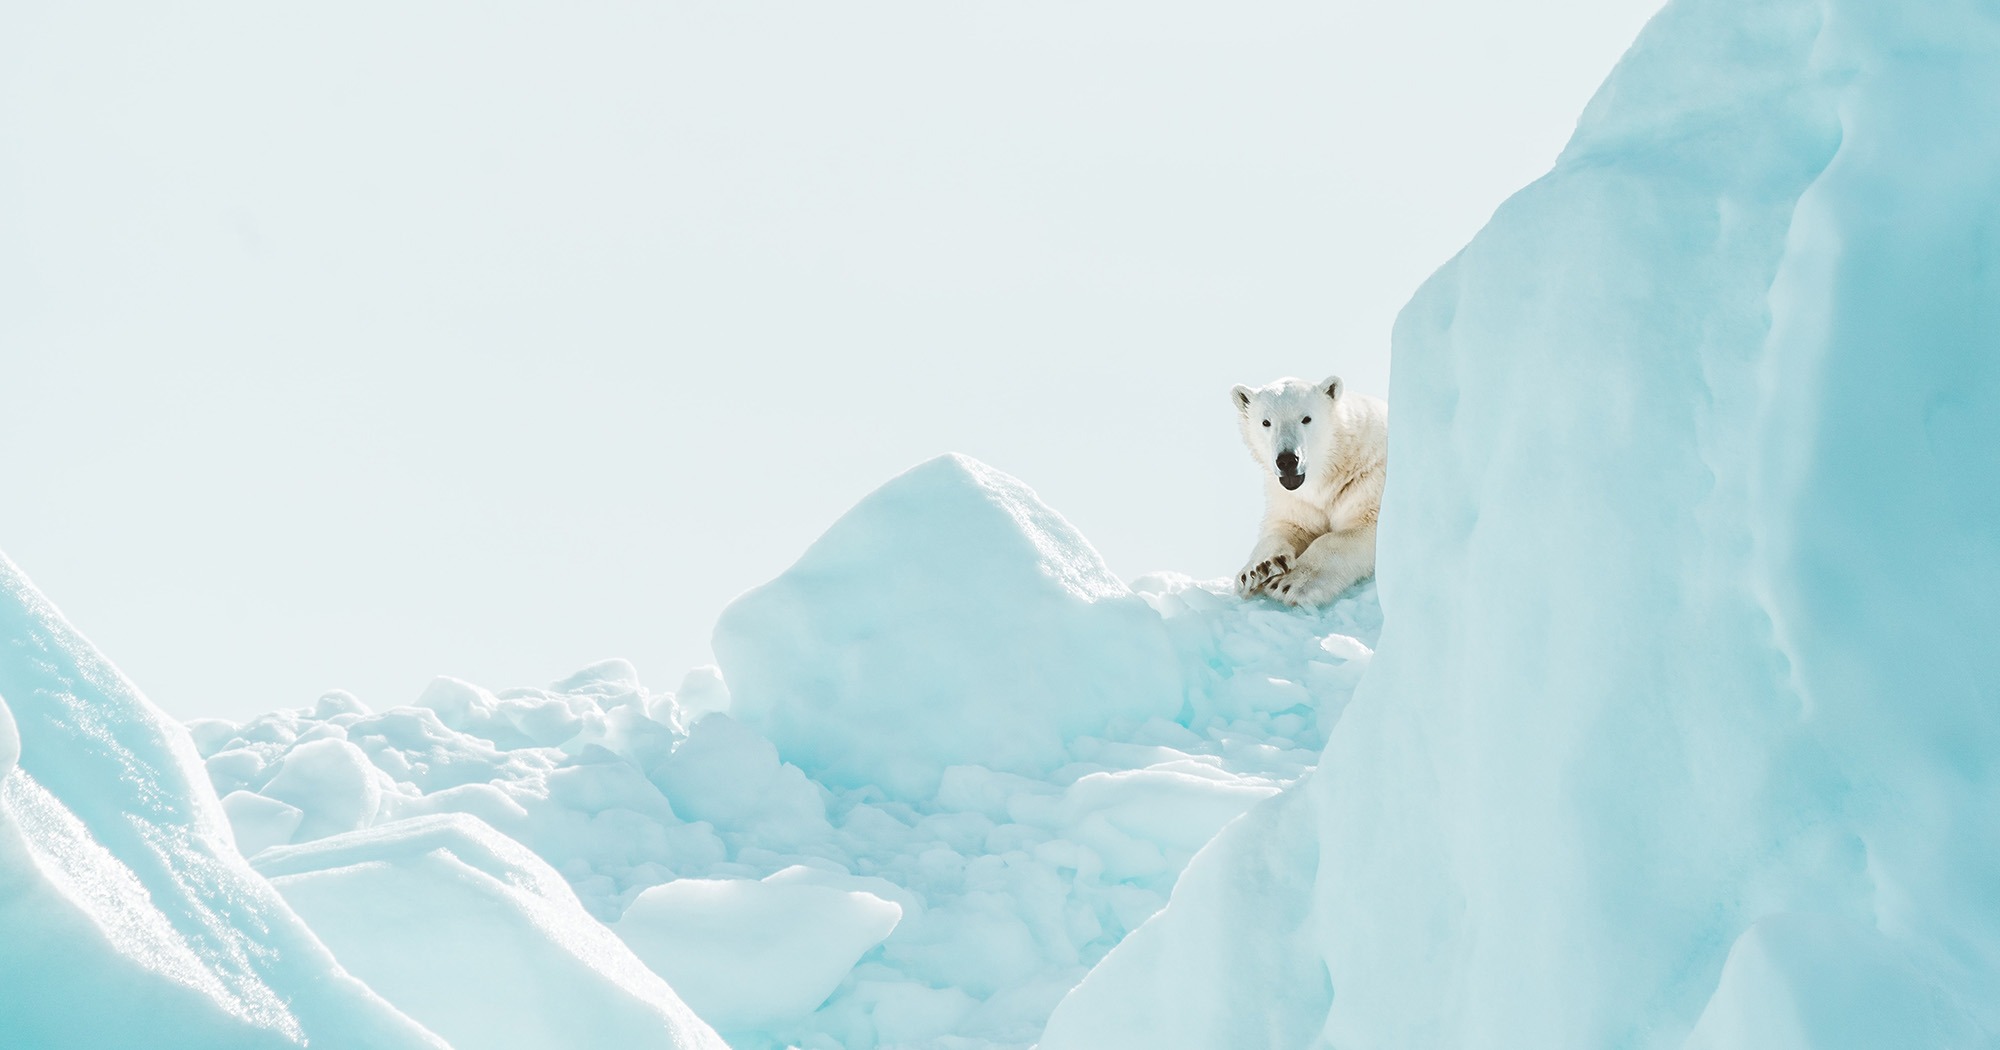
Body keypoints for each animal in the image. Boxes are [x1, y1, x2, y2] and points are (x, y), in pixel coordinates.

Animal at [1230, 374, 1388, 607]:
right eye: (1266, 422)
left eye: (1306, 418)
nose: (1287, 460)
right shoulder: (1296, 500)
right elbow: (1289, 525)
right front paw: (1258, 569)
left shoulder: (1368, 480)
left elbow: (1358, 529)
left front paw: (1289, 583)